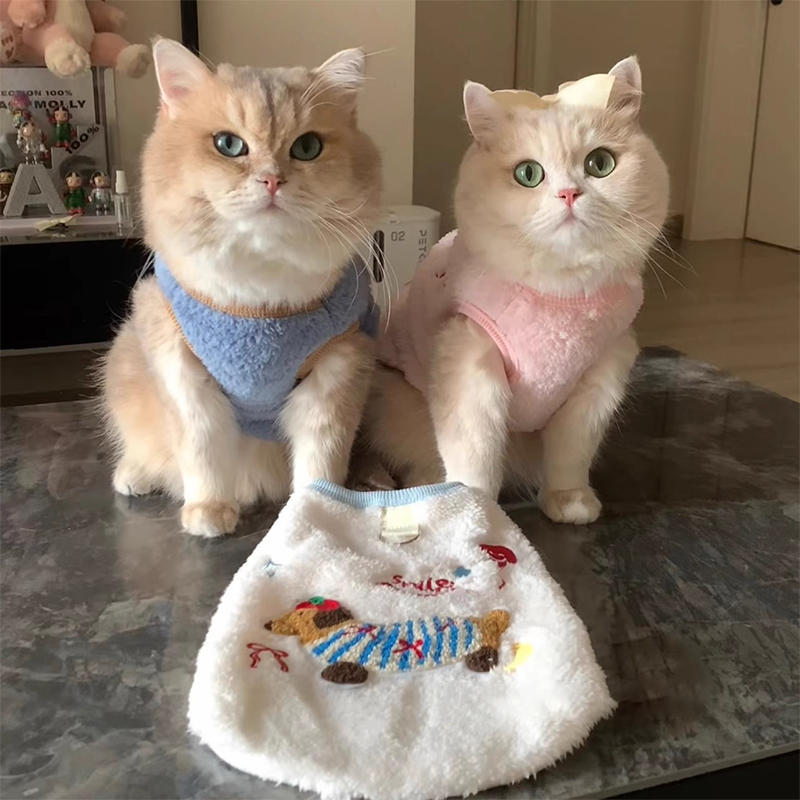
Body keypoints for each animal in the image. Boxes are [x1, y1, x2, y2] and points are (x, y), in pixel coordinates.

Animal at [101, 38, 382, 537]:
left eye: (307, 147)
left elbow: (320, 462)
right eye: (228, 145)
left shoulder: (337, 371)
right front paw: (209, 512)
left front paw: (314, 509)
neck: (260, 310)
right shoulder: (185, 376)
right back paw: (135, 475)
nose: (272, 180)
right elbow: (203, 455)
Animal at [365, 57, 669, 524]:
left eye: (600, 164)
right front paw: (477, 511)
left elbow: (571, 454)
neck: (560, 296)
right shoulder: (471, 369)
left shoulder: (597, 381)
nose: (568, 194)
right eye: (528, 174)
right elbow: (475, 456)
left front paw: (568, 502)